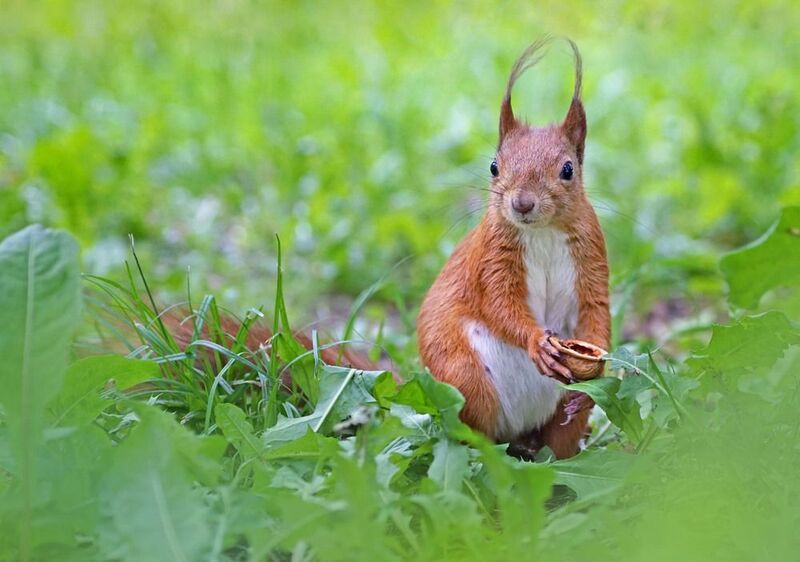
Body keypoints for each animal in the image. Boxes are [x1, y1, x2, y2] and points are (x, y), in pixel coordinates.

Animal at [416, 38, 610, 460]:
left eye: (568, 169)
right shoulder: (492, 257)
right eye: (494, 166)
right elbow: (499, 303)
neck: (543, 232)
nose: (522, 203)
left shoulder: (592, 255)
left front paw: (599, 366)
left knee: (560, 433)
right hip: (464, 379)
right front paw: (536, 341)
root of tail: (519, 432)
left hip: (559, 416)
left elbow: (597, 309)